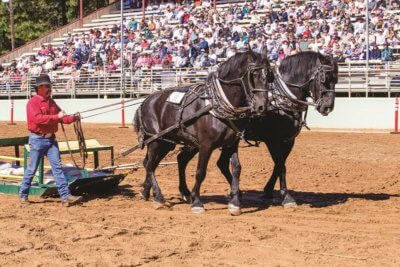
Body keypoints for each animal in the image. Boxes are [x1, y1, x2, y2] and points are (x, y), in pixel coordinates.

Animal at [134, 49, 276, 215]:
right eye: (253, 75)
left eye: (270, 76)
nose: (262, 107)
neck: (217, 105)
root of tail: (145, 101)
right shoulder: (206, 145)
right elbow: (200, 172)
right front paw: (197, 202)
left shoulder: (231, 143)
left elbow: (236, 168)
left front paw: (235, 203)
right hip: (156, 140)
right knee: (150, 164)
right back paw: (158, 197)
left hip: (167, 142)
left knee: (153, 162)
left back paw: (149, 192)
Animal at [178, 50, 338, 214]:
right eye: (324, 79)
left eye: (336, 79)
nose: (328, 107)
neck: (281, 100)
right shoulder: (273, 140)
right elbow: (281, 165)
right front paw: (286, 197)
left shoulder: (288, 141)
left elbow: (279, 165)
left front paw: (268, 191)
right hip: (199, 141)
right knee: (184, 159)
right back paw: (189, 193)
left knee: (196, 160)